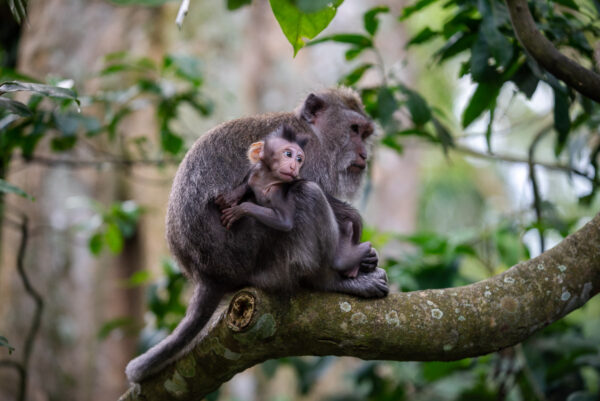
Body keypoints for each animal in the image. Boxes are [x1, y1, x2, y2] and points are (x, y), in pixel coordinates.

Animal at [216, 125, 376, 278]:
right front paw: (233, 195)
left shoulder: (277, 192)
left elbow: (284, 221)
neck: (265, 179)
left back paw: (344, 258)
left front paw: (241, 209)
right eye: (288, 154)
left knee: (308, 188)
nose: (294, 166)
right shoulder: (255, 172)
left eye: (299, 159)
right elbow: (248, 181)